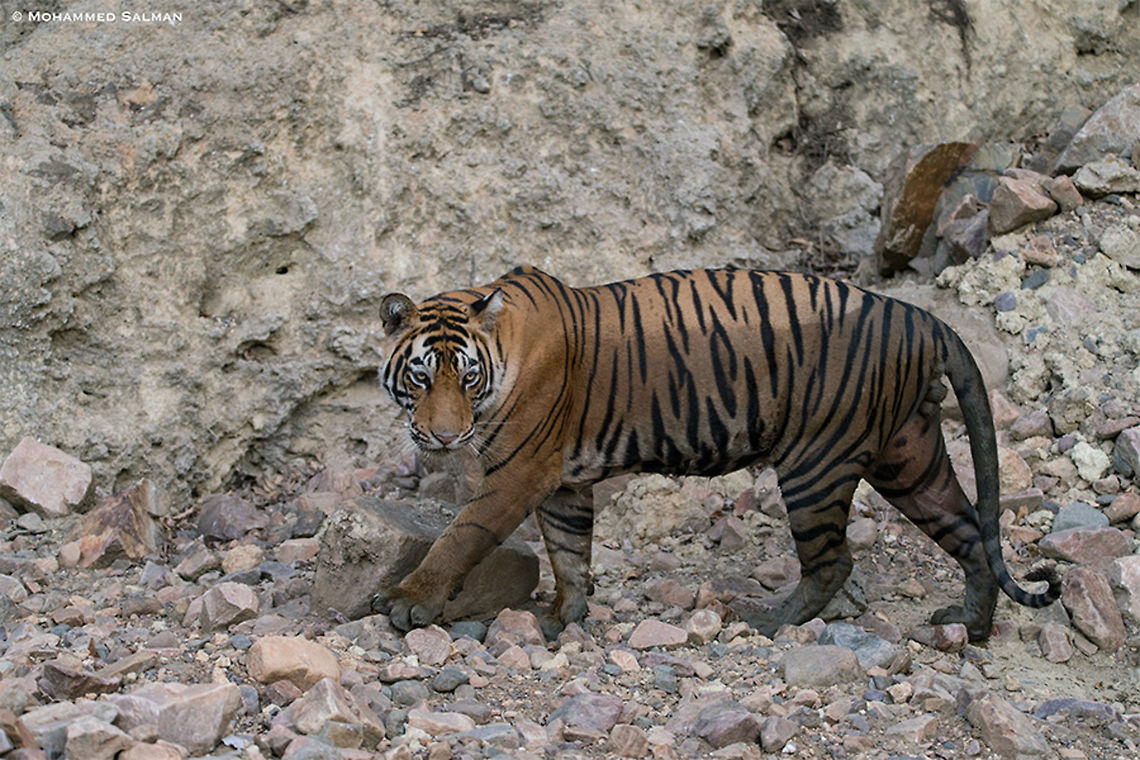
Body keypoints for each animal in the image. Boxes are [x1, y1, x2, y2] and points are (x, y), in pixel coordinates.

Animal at [375, 265, 1060, 641]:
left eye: (466, 377)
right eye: (420, 377)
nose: (443, 437)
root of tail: (922, 318)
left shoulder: (517, 473)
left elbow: (461, 535)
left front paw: (409, 601)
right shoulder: (564, 483)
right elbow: (569, 552)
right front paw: (564, 617)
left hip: (815, 463)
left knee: (832, 562)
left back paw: (767, 624)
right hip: (908, 458)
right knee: (969, 532)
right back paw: (969, 627)